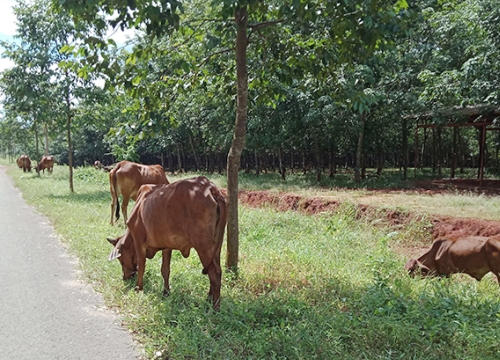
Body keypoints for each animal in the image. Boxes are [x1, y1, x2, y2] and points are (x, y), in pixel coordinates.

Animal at [108, 177, 229, 310]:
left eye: (121, 260)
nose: (125, 277)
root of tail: (211, 188)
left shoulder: (139, 240)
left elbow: (141, 266)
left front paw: (138, 288)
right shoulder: (166, 246)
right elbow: (165, 270)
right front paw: (166, 292)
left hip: (203, 246)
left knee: (214, 275)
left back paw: (215, 308)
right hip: (216, 246)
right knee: (217, 272)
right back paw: (208, 300)